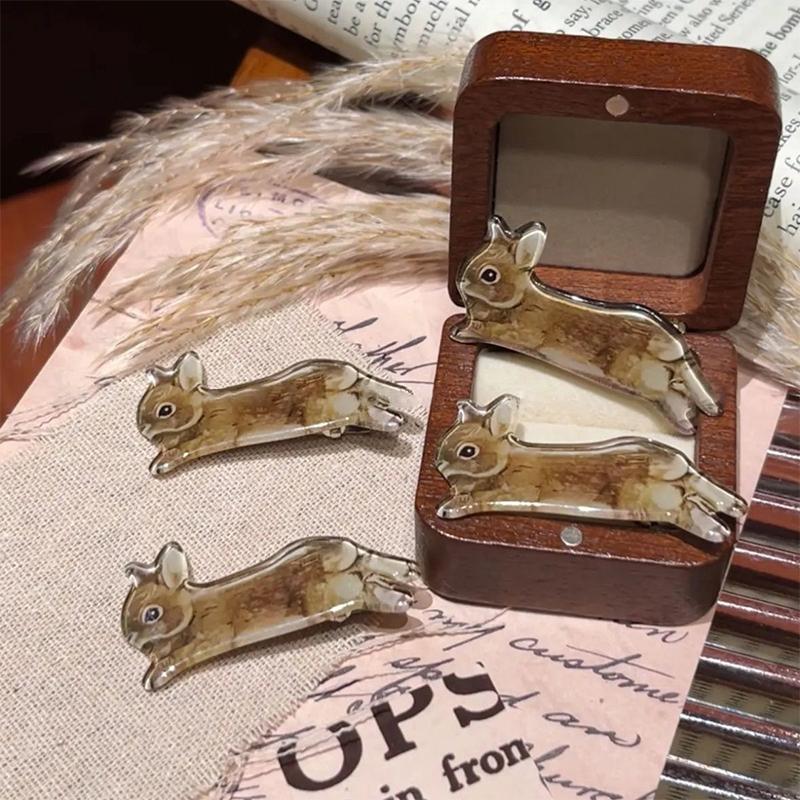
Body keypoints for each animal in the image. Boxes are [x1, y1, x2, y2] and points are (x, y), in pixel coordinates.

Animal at [122, 538, 419, 690]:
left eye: (152, 614)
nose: (131, 640)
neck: (191, 610)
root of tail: (342, 548)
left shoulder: (205, 640)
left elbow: (173, 659)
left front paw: (154, 678)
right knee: (372, 569)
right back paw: (407, 575)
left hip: (335, 593)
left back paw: (402, 594)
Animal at [137, 352, 414, 475]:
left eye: (165, 410)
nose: (143, 431)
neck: (200, 411)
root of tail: (350, 373)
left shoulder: (211, 435)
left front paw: (160, 464)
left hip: (333, 411)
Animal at [435, 394, 746, 544]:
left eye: (467, 451)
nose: (438, 463)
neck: (503, 462)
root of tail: (678, 462)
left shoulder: (506, 491)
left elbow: (472, 500)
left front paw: (447, 508)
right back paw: (734, 510)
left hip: (652, 502)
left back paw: (718, 531)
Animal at [451, 215, 721, 435]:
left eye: (489, 275)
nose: (461, 281)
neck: (516, 300)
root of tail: (675, 345)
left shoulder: (510, 330)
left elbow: (483, 330)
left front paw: (458, 333)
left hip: (644, 383)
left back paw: (690, 423)